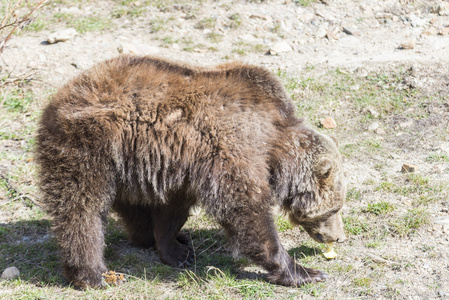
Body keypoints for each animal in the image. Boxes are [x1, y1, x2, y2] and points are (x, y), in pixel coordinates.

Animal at [36, 55, 344, 290]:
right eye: (336, 209)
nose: (338, 237)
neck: (273, 143)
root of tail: (58, 98)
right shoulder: (233, 149)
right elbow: (246, 211)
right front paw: (304, 272)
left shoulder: (184, 163)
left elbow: (173, 209)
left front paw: (175, 248)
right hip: (89, 146)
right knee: (82, 210)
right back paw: (93, 274)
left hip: (128, 162)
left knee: (130, 205)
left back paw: (149, 237)